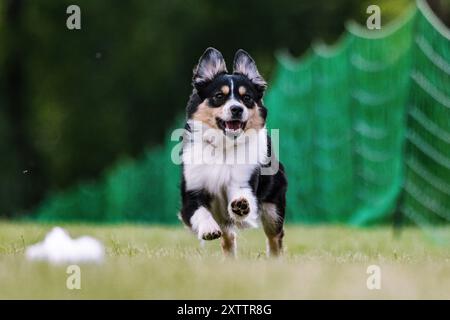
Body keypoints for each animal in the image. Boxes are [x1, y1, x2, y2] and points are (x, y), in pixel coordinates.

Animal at [178, 48, 286, 258]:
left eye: (247, 98)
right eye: (219, 96)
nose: (237, 109)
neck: (223, 146)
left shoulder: (244, 180)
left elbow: (242, 196)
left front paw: (241, 205)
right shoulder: (191, 194)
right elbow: (200, 212)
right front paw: (208, 229)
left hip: (272, 209)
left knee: (274, 237)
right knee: (228, 236)